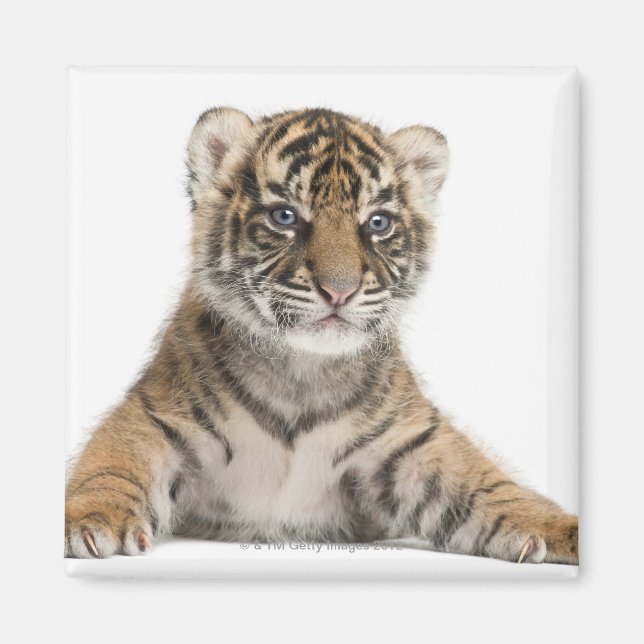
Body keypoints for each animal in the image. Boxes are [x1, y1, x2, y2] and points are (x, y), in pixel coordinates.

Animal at [64, 106, 578, 564]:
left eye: (377, 222)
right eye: (285, 217)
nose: (339, 290)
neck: (302, 371)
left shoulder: (415, 445)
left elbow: (491, 486)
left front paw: (565, 531)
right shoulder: (154, 418)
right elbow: (111, 466)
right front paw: (86, 520)